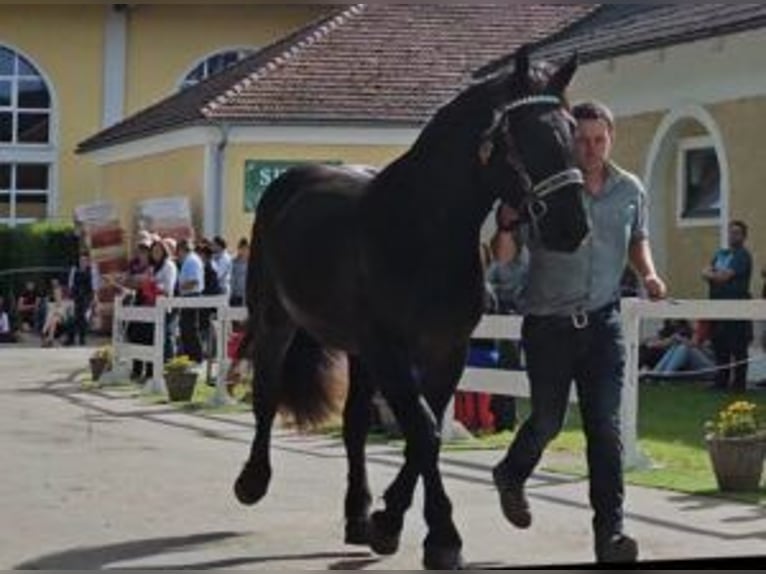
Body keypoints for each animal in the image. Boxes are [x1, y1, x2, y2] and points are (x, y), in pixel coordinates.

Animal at [234, 47, 588, 568]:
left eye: (572, 130)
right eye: (527, 135)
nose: (573, 226)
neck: (422, 231)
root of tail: (291, 181)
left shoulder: (446, 351)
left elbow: (427, 434)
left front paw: (390, 523)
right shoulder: (391, 350)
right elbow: (423, 431)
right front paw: (440, 536)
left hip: (358, 352)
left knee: (354, 423)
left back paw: (357, 515)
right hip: (276, 321)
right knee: (266, 395)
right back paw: (252, 481)